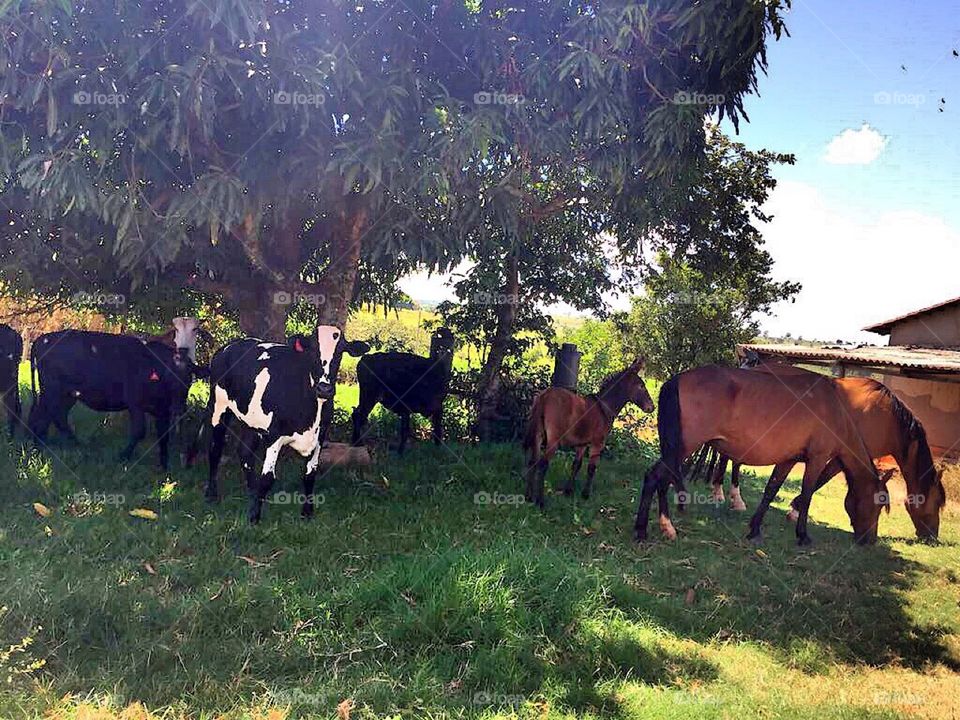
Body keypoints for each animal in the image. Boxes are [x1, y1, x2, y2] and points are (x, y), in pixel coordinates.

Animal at [28, 329, 206, 468]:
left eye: (189, 378)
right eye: (169, 376)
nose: (178, 409)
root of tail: (42, 338)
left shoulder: (163, 411)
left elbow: (163, 435)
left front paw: (164, 465)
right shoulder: (135, 403)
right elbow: (139, 431)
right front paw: (123, 456)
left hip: (66, 394)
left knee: (52, 416)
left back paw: (51, 445)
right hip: (52, 390)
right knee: (48, 416)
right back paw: (52, 447)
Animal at [204, 326, 369, 523]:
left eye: (341, 352)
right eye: (312, 350)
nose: (324, 388)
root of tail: (228, 347)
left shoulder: (320, 436)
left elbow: (310, 475)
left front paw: (307, 513)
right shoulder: (274, 435)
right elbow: (267, 478)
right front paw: (254, 517)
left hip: (252, 421)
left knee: (244, 453)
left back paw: (251, 492)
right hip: (218, 407)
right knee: (215, 448)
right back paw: (211, 495)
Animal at [524, 358, 655, 508]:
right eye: (641, 386)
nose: (652, 407)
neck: (604, 407)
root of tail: (545, 396)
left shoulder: (582, 444)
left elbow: (576, 465)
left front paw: (568, 491)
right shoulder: (598, 444)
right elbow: (591, 468)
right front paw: (585, 495)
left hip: (537, 436)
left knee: (532, 462)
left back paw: (528, 497)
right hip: (553, 441)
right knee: (543, 464)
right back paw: (540, 501)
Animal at [634, 365, 886, 546]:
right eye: (879, 503)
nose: (870, 540)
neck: (835, 409)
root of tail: (675, 380)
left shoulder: (788, 459)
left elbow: (771, 489)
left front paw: (754, 529)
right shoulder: (817, 458)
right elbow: (807, 495)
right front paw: (803, 535)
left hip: (674, 449)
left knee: (662, 480)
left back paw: (666, 527)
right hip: (683, 447)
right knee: (654, 477)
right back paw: (642, 530)